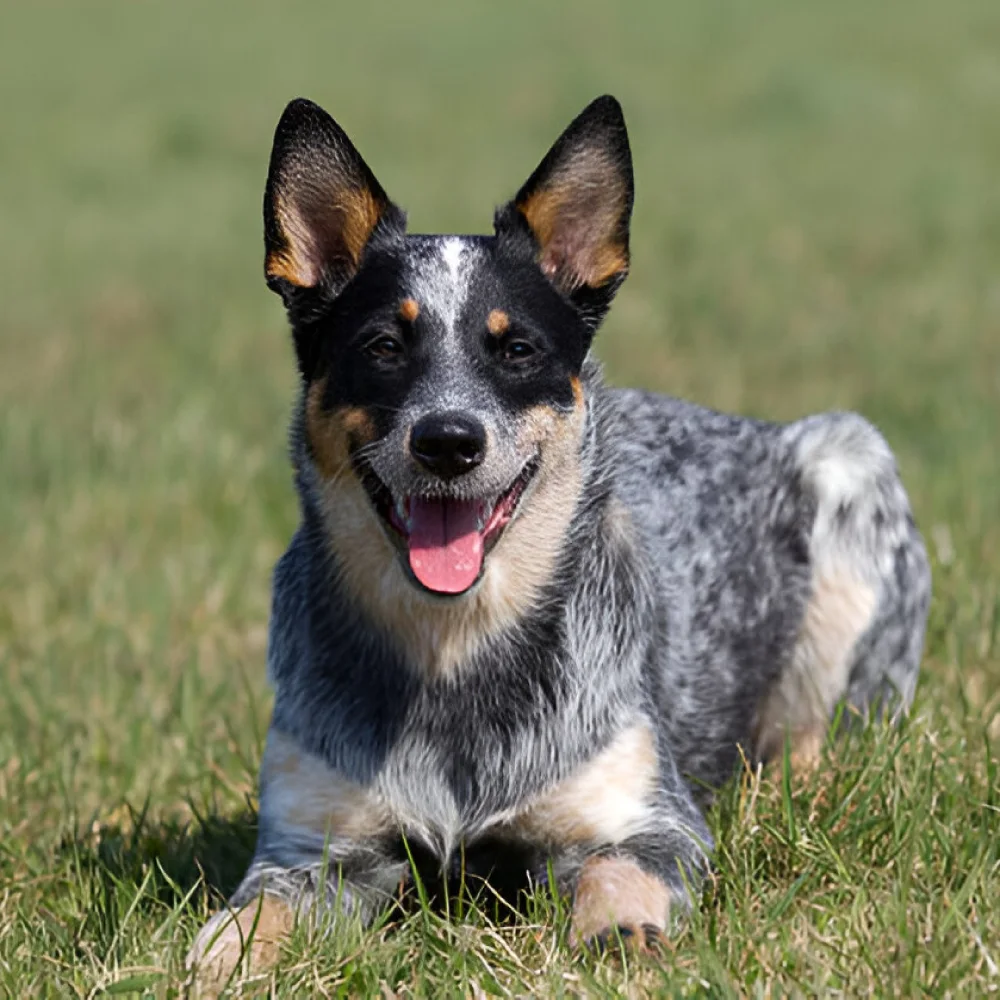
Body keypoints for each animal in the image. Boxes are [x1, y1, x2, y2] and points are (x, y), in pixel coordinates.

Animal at [188, 94, 928, 984]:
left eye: (517, 348)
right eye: (383, 346)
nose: (447, 440)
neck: (453, 646)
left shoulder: (644, 817)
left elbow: (618, 870)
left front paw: (619, 933)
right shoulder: (312, 845)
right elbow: (252, 915)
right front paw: (214, 961)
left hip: (849, 464)